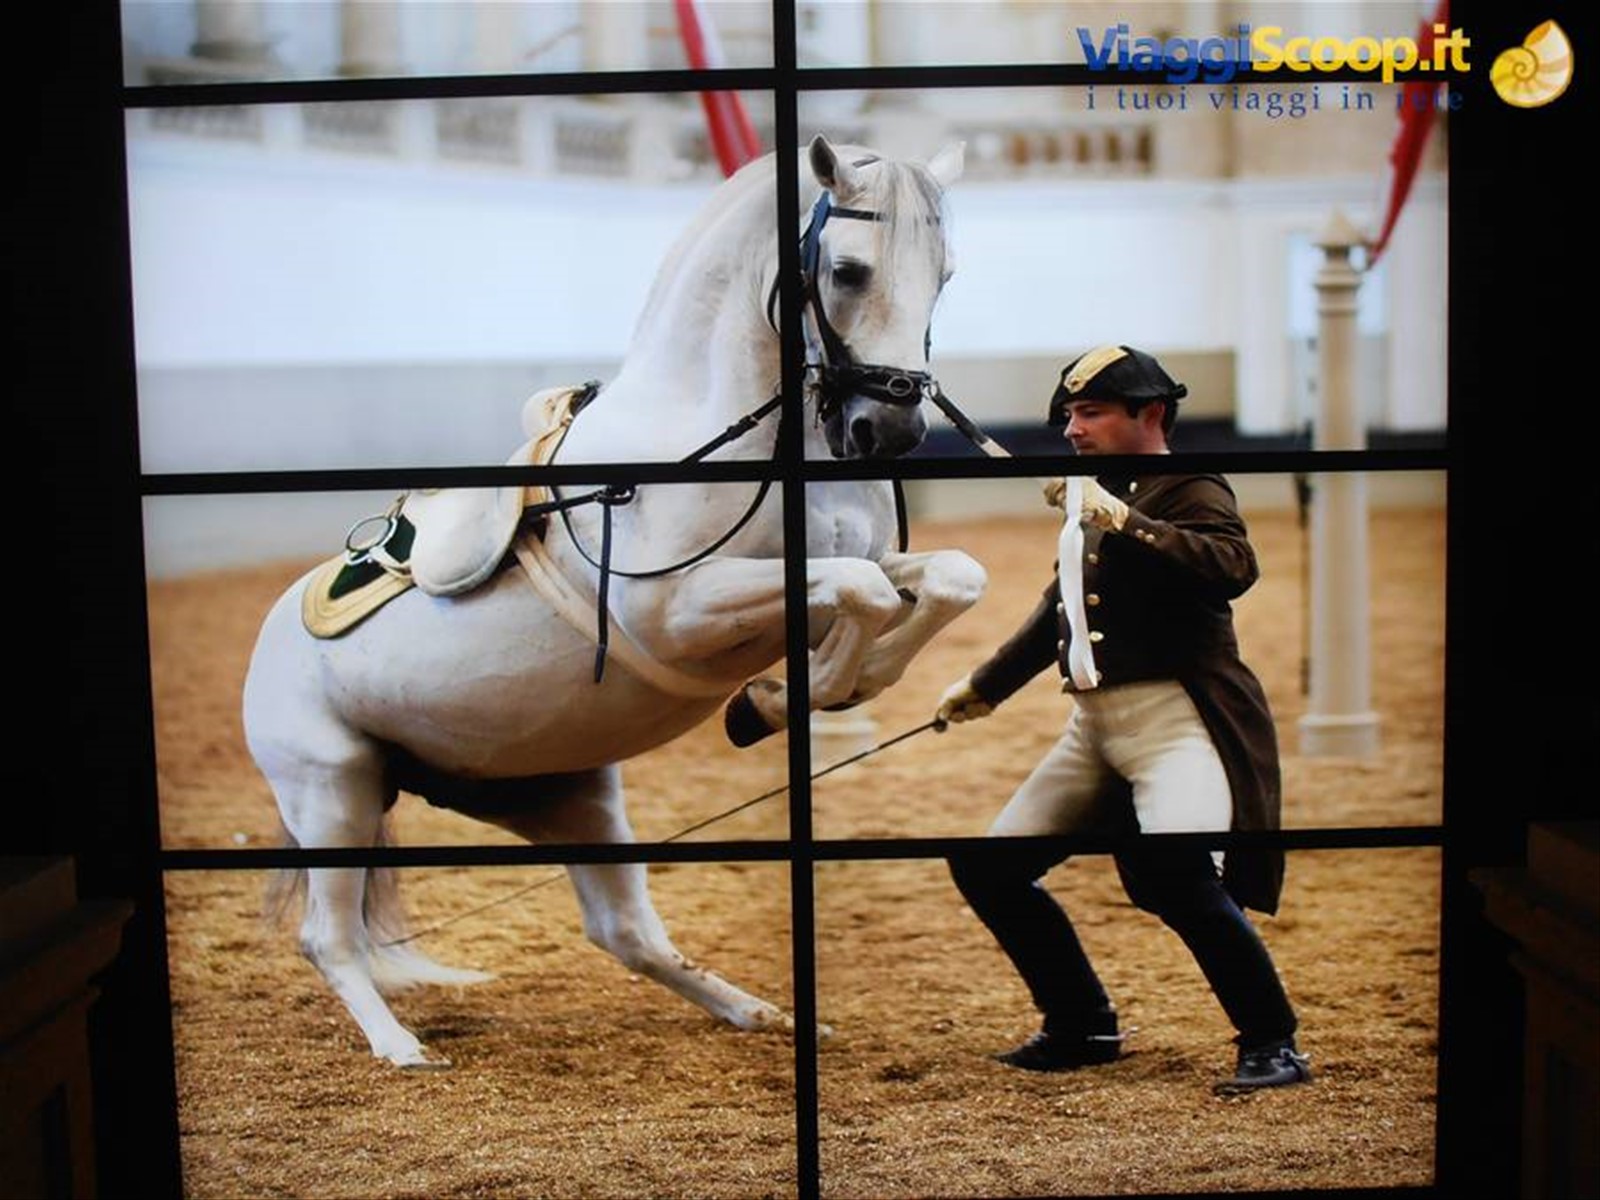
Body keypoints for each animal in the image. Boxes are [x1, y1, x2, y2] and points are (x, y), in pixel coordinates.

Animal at [242, 135, 987, 1067]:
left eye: (947, 273)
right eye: (848, 269)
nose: (889, 432)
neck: (707, 433)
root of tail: (267, 641)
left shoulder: (859, 568)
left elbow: (944, 579)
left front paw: (800, 695)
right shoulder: (677, 614)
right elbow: (866, 592)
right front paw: (778, 701)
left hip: (572, 794)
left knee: (623, 933)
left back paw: (759, 1013)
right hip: (332, 791)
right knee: (330, 938)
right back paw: (403, 1048)